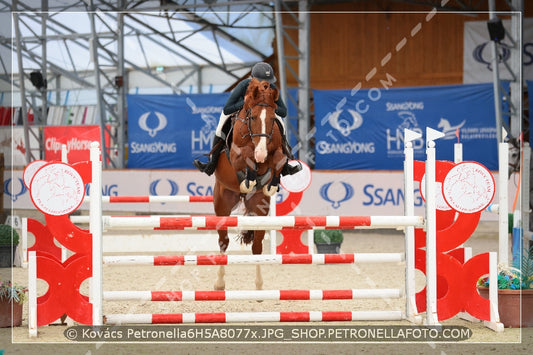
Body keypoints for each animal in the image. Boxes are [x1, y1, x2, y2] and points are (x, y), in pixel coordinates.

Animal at [211, 78, 286, 292]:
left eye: (272, 119)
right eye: (252, 117)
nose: (261, 154)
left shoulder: (274, 152)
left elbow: (279, 159)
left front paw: (270, 182)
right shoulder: (236, 155)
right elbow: (245, 155)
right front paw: (249, 176)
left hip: (259, 208)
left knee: (257, 246)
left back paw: (259, 287)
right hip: (222, 203)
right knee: (223, 241)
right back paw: (219, 283)